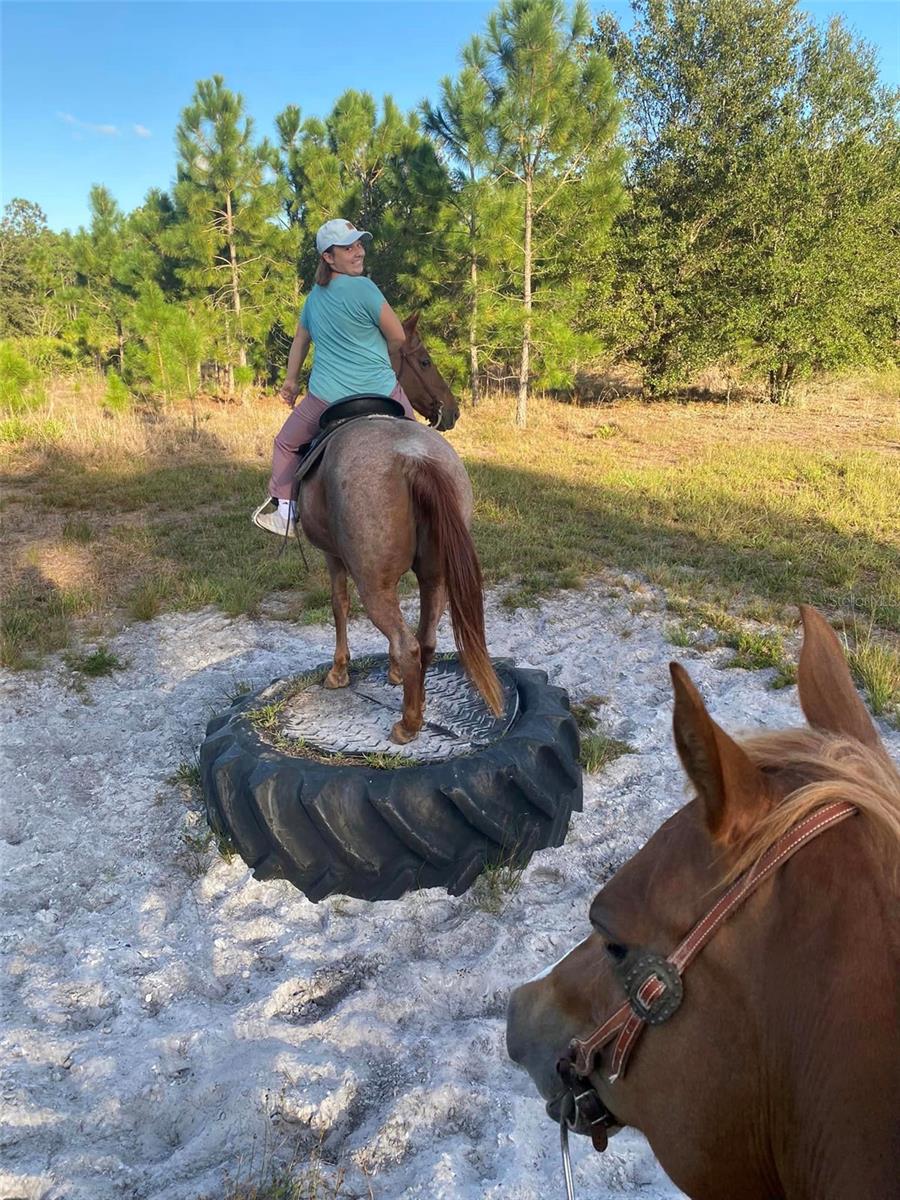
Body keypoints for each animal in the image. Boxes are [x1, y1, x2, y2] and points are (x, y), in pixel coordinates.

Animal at [300, 312, 504, 739]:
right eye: (425, 361)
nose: (452, 410)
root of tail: (413, 457)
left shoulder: (332, 556)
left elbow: (339, 605)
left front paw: (338, 671)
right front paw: (393, 675)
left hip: (374, 586)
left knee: (407, 642)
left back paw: (408, 724)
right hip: (436, 576)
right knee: (423, 640)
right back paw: (419, 701)